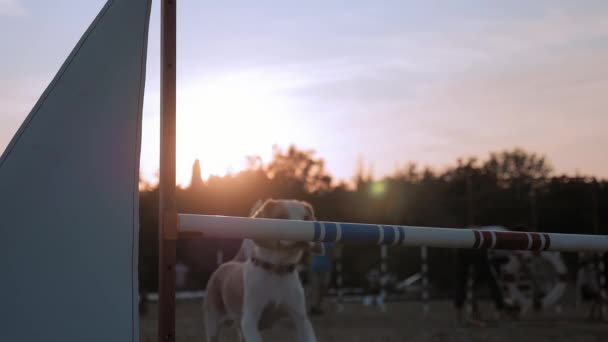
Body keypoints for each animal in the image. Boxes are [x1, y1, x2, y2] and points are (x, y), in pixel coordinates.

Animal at [204, 199, 326, 340]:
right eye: (282, 217)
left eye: (306, 219)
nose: (303, 230)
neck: (277, 270)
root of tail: (230, 263)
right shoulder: (249, 320)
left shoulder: (301, 319)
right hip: (213, 325)